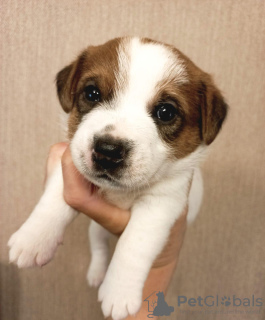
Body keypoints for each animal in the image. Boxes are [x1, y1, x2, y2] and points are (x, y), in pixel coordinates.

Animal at [8, 37, 227, 320]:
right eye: (92, 93)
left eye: (166, 112)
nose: (108, 151)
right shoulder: (69, 163)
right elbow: (53, 201)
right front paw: (34, 238)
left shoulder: (162, 202)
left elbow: (134, 244)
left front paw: (119, 292)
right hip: (95, 230)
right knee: (99, 247)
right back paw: (96, 273)